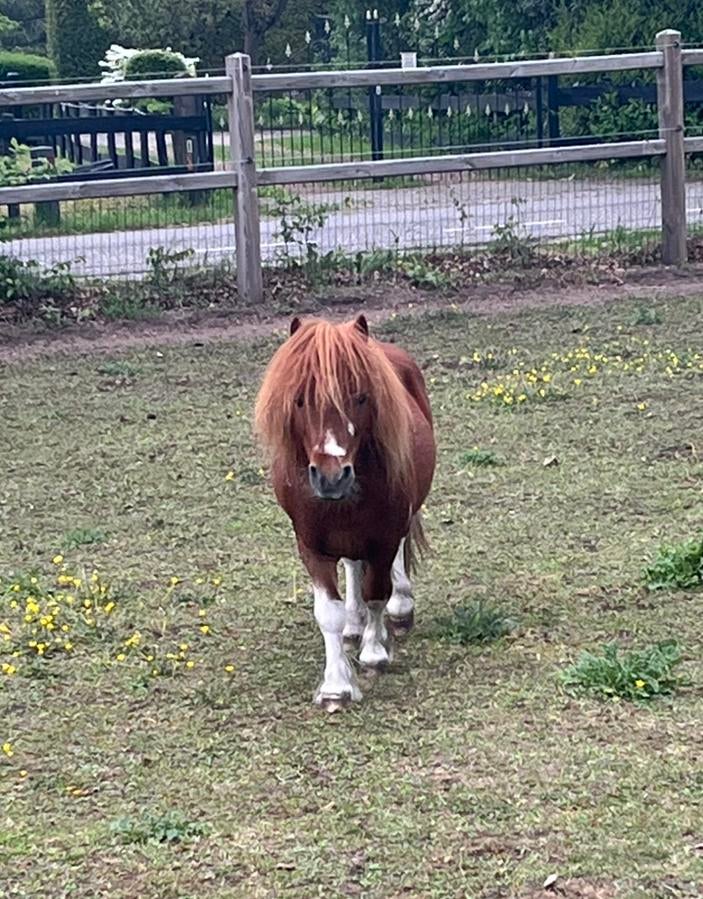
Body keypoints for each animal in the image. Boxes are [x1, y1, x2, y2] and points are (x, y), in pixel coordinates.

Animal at [255, 314, 436, 710]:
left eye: (360, 396)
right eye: (300, 399)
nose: (331, 477)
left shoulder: (383, 537)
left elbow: (377, 594)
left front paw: (374, 653)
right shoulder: (311, 547)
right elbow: (329, 613)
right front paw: (335, 686)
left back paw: (398, 610)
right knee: (352, 567)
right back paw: (355, 625)